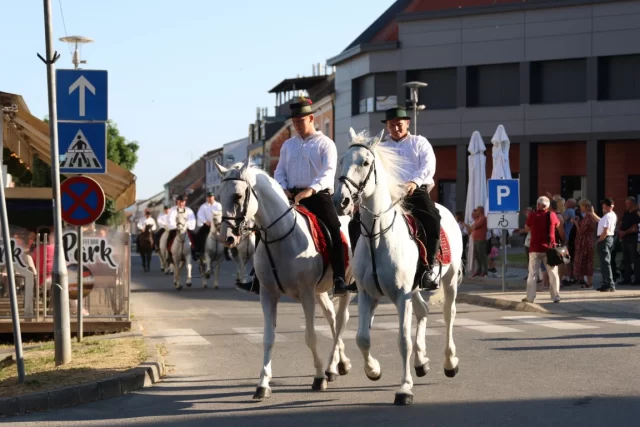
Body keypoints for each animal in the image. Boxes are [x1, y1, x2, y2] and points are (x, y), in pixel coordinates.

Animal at [215, 159, 354, 400]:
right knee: (332, 318)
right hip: (320, 291)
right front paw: (262, 384)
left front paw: (319, 377)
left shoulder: (306, 295)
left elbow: (310, 336)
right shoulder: (268, 295)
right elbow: (268, 338)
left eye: (238, 195)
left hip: (345, 286)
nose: (227, 238)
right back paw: (339, 364)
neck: (281, 237)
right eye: (219, 196)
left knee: (340, 320)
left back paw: (330, 368)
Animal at [332, 128, 464, 406]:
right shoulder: (366, 294)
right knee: (424, 311)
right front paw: (373, 370)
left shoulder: (402, 295)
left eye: (365, 162)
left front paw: (404, 389)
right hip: (415, 289)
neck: (377, 236)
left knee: (449, 315)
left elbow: (403, 340)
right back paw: (421, 363)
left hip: (448, 282)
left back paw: (450, 363)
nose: (342, 200)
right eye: (341, 160)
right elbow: (362, 338)